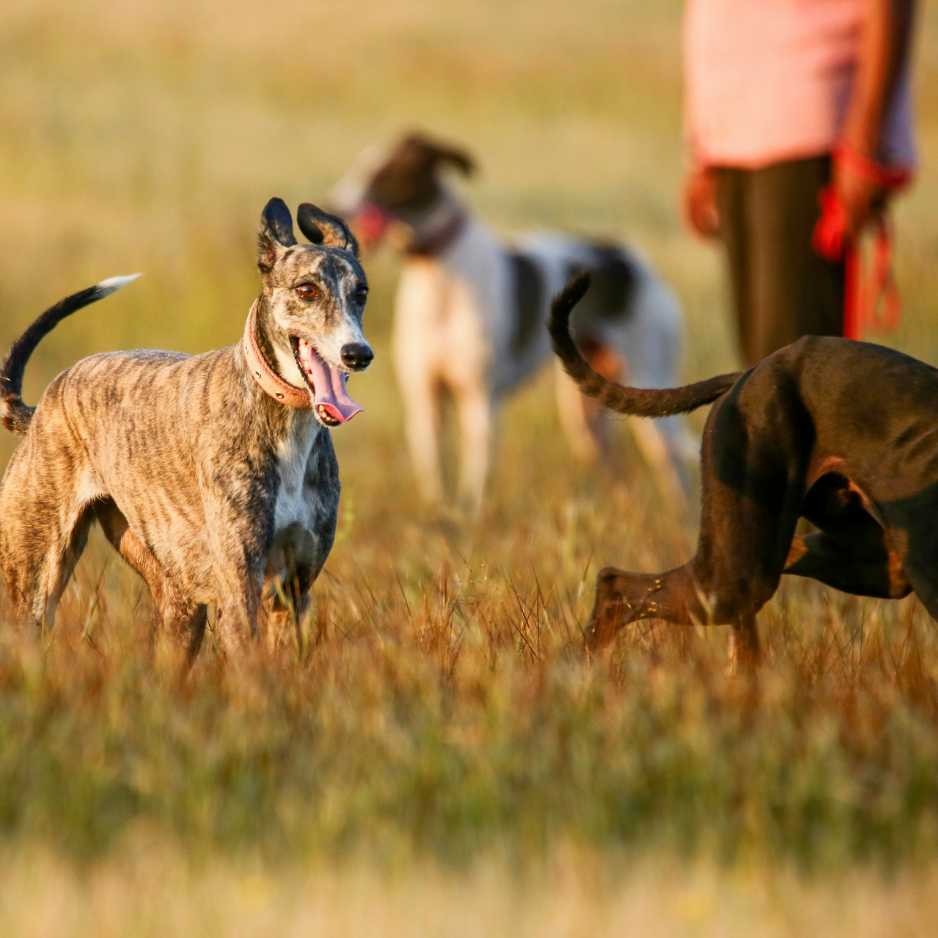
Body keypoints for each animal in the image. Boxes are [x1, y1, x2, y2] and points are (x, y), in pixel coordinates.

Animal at [328, 131, 688, 508]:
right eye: (359, 166)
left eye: (385, 174)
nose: (333, 205)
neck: (440, 276)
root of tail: (632, 260)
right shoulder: (426, 402)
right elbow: (436, 481)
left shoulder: (480, 403)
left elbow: (474, 486)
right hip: (587, 409)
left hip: (649, 390)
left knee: (674, 469)